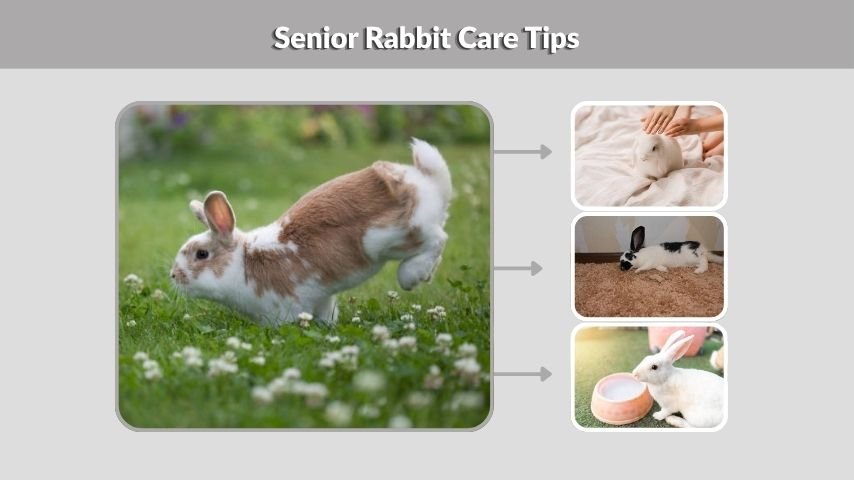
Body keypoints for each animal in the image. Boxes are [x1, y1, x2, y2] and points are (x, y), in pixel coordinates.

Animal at [170, 139, 452, 327]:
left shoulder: (285, 306)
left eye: (202, 254)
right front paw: (329, 327)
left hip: (392, 237)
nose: (173, 275)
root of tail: (426, 181)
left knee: (437, 239)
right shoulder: (322, 298)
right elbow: (327, 314)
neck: (244, 262)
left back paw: (412, 276)